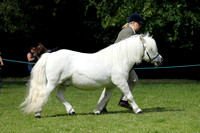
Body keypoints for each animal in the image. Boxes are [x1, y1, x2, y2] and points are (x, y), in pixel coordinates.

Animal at [20, 34, 163, 117]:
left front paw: (97, 110)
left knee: (59, 96)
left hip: (62, 83)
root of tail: (50, 55)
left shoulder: (111, 85)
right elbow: (129, 95)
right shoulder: (121, 82)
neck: (118, 59)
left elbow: (105, 98)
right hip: (53, 83)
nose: (160, 60)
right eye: (151, 48)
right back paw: (38, 113)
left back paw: (71, 111)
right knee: (43, 95)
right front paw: (138, 110)